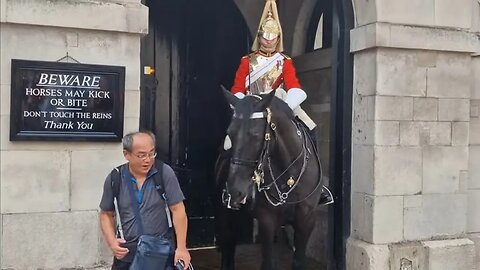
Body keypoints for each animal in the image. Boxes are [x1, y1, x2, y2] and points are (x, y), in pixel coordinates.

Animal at [216, 89, 324, 270]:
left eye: (255, 135)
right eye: (230, 134)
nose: (234, 192)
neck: (290, 175)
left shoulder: (306, 221)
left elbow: (298, 261)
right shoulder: (267, 221)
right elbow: (268, 262)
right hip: (226, 215)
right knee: (228, 245)